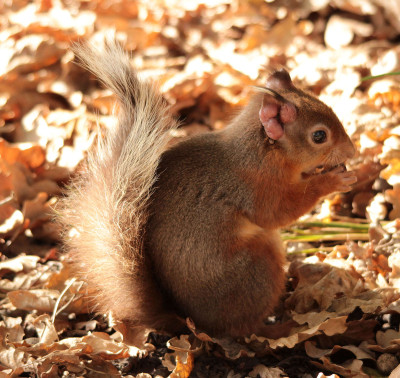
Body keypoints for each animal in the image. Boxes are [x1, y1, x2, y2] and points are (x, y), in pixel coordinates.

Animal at [61, 40, 356, 342]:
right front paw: (332, 181)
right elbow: (279, 212)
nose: (352, 151)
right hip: (257, 267)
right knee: (245, 328)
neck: (261, 152)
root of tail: (194, 322)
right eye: (319, 136)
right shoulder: (255, 187)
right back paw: (280, 328)